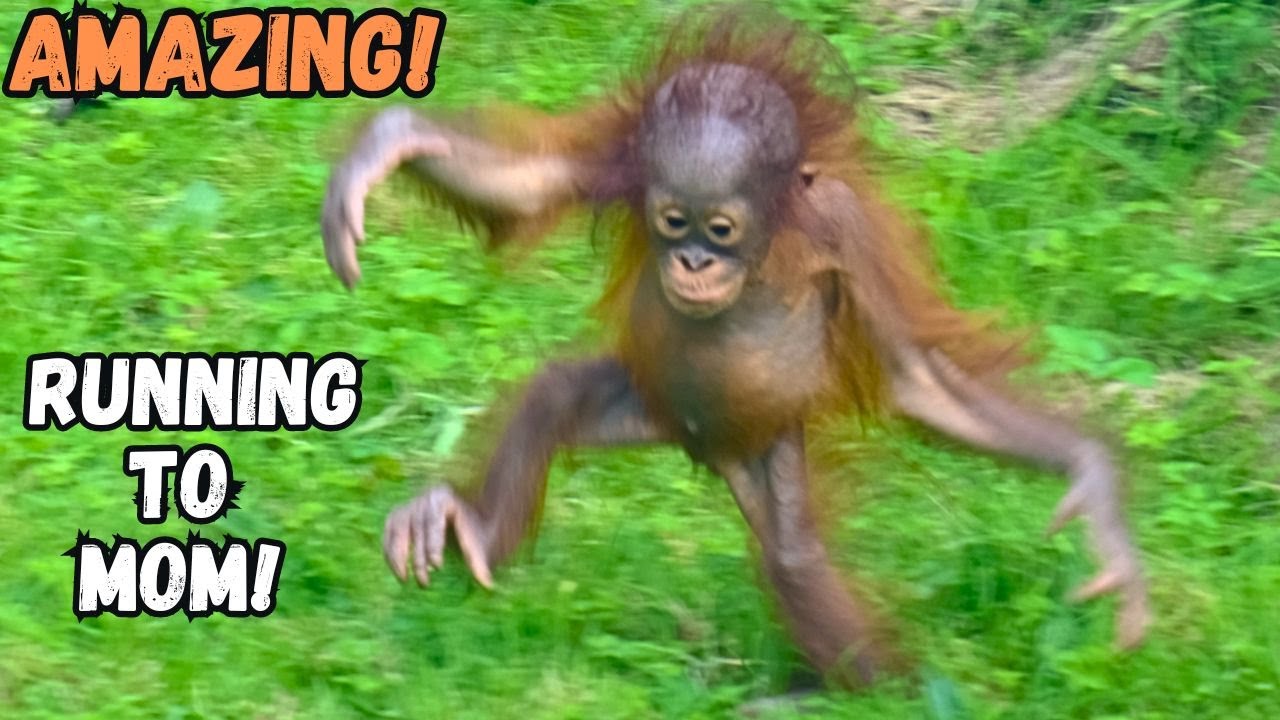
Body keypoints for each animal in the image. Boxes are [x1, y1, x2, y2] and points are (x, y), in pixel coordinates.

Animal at [319, 7, 1149, 688]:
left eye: (720, 229)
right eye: (672, 221)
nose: (693, 262)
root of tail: (703, 451)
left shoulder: (845, 227)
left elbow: (917, 376)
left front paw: (1094, 487)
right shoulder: (626, 161)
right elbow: (528, 186)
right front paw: (388, 145)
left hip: (768, 441)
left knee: (794, 556)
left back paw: (859, 692)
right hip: (645, 401)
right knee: (556, 396)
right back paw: (470, 527)